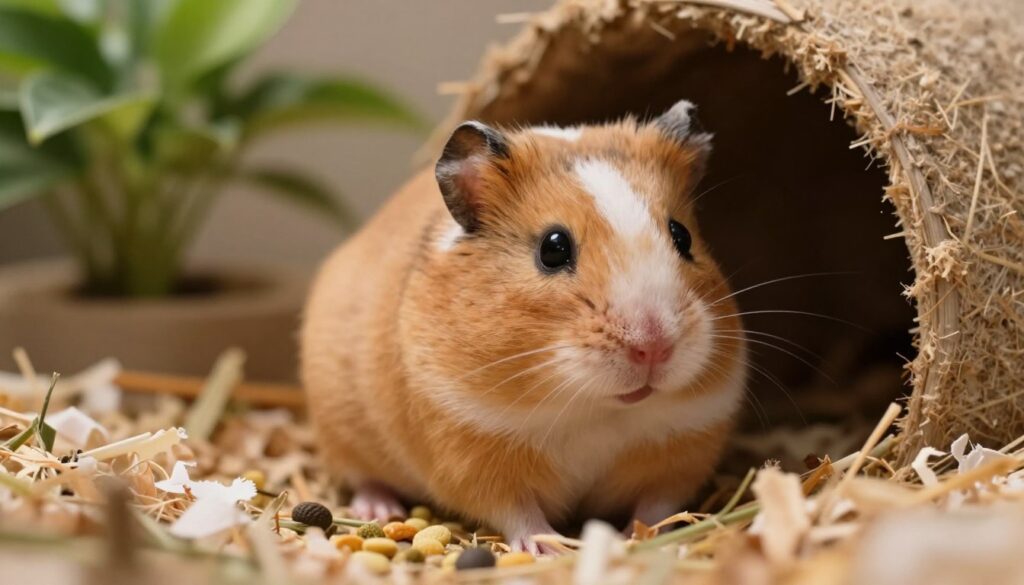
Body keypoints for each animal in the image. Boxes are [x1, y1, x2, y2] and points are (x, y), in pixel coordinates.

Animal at [301, 100, 746, 553]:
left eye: (682, 236)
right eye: (553, 248)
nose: (653, 347)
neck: (595, 408)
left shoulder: (686, 445)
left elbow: (657, 504)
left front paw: (634, 538)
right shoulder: (471, 453)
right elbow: (517, 511)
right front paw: (546, 545)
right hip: (341, 430)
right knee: (362, 478)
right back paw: (379, 509)